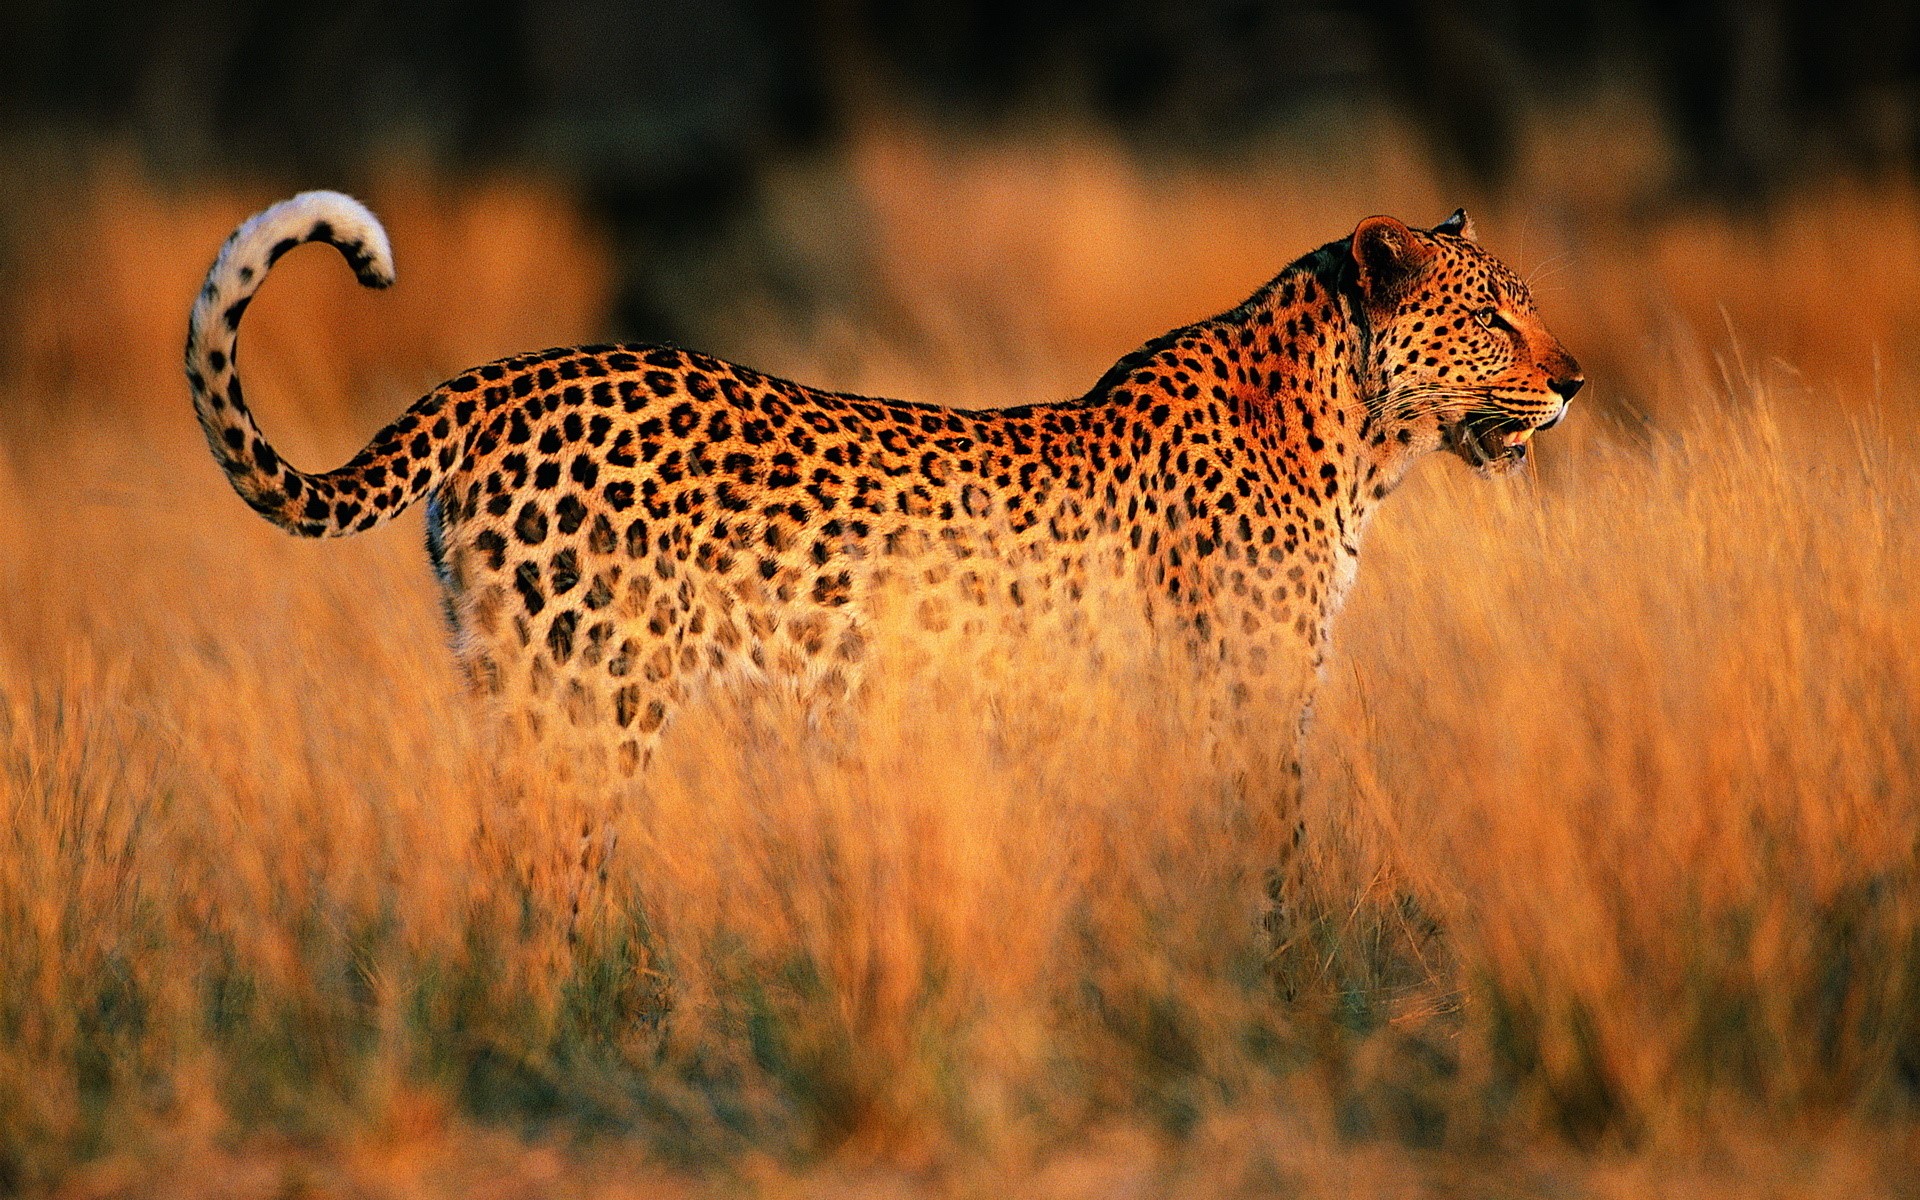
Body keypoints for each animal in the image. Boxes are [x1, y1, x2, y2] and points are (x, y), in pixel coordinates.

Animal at [185, 192, 1581, 785]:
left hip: (514, 684)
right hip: (595, 692)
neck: (1353, 441)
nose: (1575, 380)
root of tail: (511, 373)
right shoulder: (1241, 695)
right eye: (1495, 320)